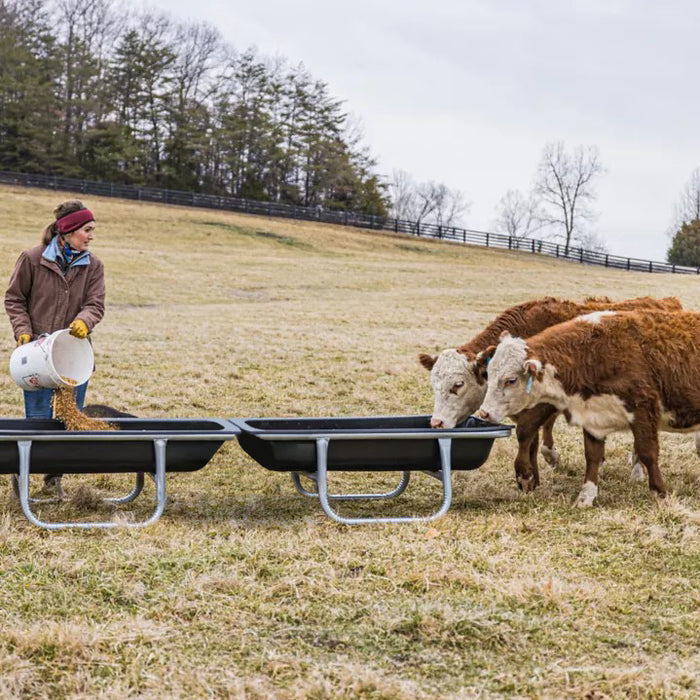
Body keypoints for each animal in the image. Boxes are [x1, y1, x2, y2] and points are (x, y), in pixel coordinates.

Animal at [419, 296, 683, 485]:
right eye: (433, 384)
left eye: (458, 384)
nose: (436, 423)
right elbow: (534, 439)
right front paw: (534, 475)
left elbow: (531, 436)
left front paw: (530, 473)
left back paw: (637, 470)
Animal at [476, 310, 700, 507]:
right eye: (489, 373)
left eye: (511, 380)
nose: (485, 412)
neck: (597, 353)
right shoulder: (593, 417)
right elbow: (592, 456)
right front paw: (586, 497)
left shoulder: (642, 410)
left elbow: (647, 453)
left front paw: (659, 493)